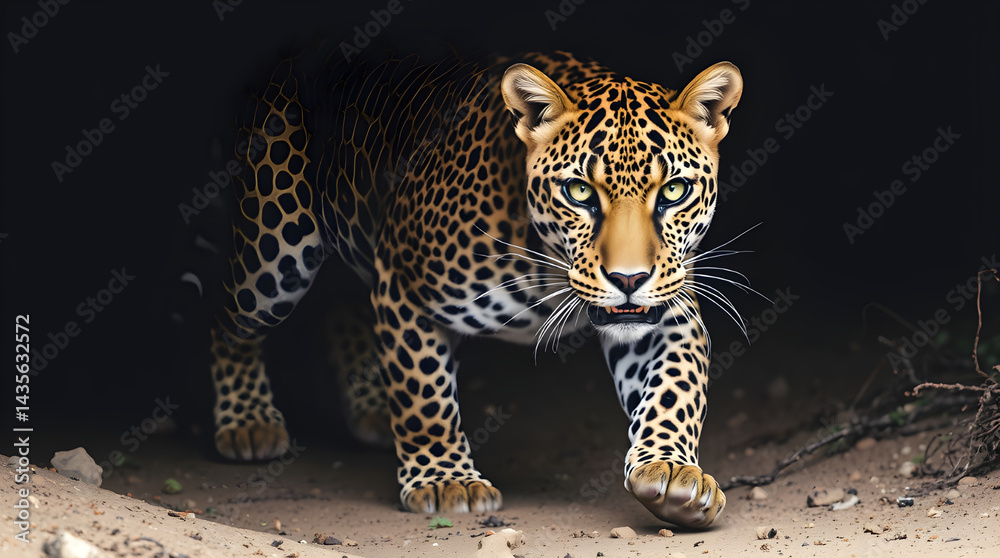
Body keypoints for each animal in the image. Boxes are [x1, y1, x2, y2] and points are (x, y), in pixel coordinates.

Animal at [207, 48, 743, 528]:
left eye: (674, 191)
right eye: (579, 192)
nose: (629, 279)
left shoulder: (668, 308)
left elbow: (676, 386)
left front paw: (671, 472)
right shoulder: (401, 279)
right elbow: (423, 392)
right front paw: (444, 480)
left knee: (342, 308)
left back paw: (373, 411)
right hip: (276, 248)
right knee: (227, 318)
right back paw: (248, 422)